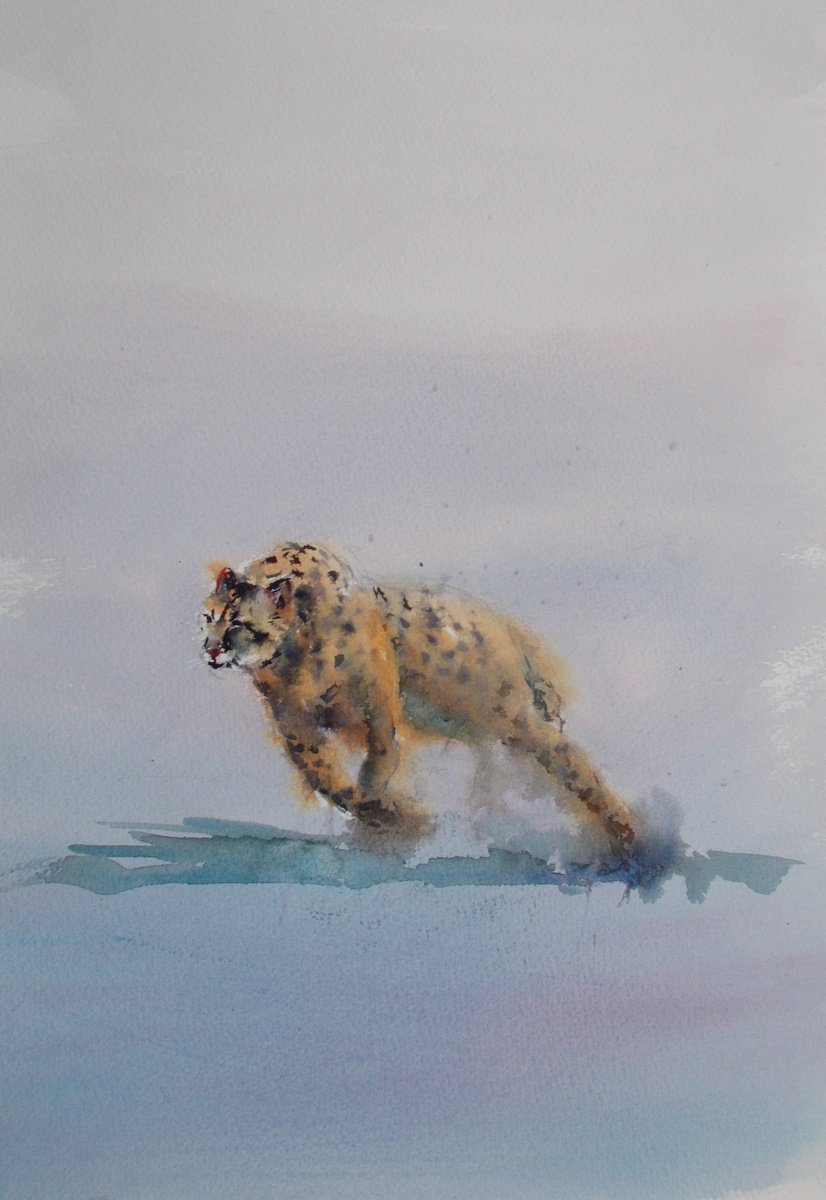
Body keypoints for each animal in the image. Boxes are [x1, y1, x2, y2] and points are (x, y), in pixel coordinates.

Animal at [198, 541, 639, 861]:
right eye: (209, 617)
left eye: (238, 624)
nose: (211, 649)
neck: (295, 661)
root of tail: (507, 626)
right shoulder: (294, 724)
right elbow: (324, 775)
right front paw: (391, 816)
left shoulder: (374, 702)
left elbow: (379, 753)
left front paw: (378, 799)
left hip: (508, 714)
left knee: (570, 759)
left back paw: (632, 838)